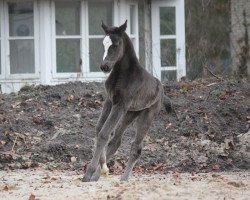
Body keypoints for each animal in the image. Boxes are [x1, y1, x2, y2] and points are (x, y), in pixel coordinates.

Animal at [82, 20, 172, 183]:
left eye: (116, 44)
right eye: (103, 44)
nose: (104, 66)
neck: (122, 74)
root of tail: (162, 92)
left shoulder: (120, 104)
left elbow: (104, 133)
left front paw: (88, 173)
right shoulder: (110, 101)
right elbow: (100, 130)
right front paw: (101, 169)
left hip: (146, 116)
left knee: (136, 147)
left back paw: (124, 177)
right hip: (130, 114)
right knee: (116, 141)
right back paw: (99, 174)